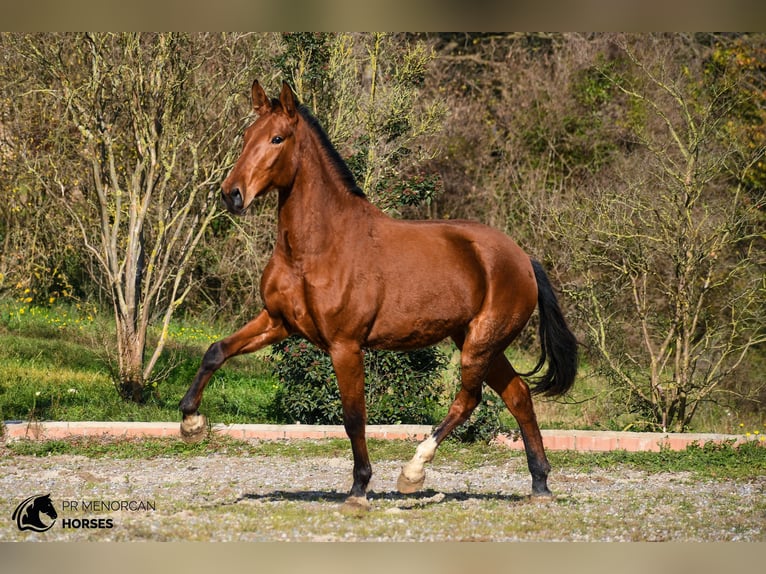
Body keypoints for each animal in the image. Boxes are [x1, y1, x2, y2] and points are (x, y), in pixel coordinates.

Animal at [178, 79, 576, 510]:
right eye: (246, 135)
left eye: (277, 138)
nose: (231, 195)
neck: (317, 248)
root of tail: (523, 259)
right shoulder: (278, 322)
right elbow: (217, 350)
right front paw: (191, 422)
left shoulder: (345, 345)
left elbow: (354, 417)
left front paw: (359, 490)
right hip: (479, 342)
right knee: (518, 395)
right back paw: (540, 484)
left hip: (480, 344)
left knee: (469, 400)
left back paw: (413, 472)